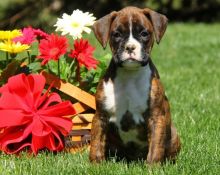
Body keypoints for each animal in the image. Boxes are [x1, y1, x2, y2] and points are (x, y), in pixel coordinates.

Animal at [89, 5, 180, 164]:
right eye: (117, 34)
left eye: (144, 34)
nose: (130, 47)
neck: (129, 75)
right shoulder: (100, 117)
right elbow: (96, 143)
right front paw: (95, 164)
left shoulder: (156, 118)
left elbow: (156, 147)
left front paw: (153, 166)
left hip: (173, 134)